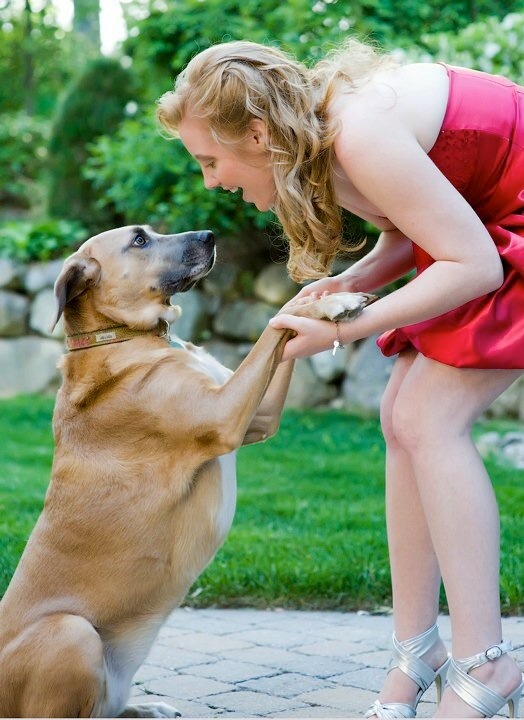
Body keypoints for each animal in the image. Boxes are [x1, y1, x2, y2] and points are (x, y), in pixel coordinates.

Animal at [0, 224, 376, 716]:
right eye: (140, 239)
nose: (210, 234)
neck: (121, 337)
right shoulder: (225, 415)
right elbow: (271, 326)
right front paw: (334, 304)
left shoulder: (258, 417)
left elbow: (282, 320)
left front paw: (325, 301)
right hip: (72, 631)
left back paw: (147, 708)